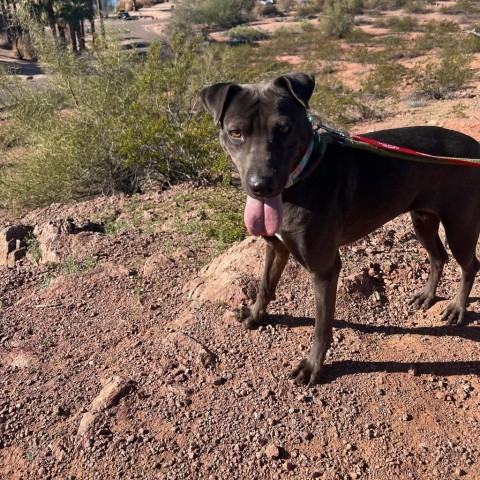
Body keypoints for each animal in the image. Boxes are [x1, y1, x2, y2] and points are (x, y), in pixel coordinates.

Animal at [201, 72, 480, 386]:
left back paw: (457, 308)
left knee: (470, 265)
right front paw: (254, 314)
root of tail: (475, 146)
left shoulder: (325, 269)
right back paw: (427, 296)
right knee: (438, 257)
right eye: (236, 133)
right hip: (422, 219)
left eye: (283, 128)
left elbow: (322, 326)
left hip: (460, 226)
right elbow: (264, 286)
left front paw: (312, 366)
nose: (261, 186)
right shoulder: (277, 247)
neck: (303, 174)